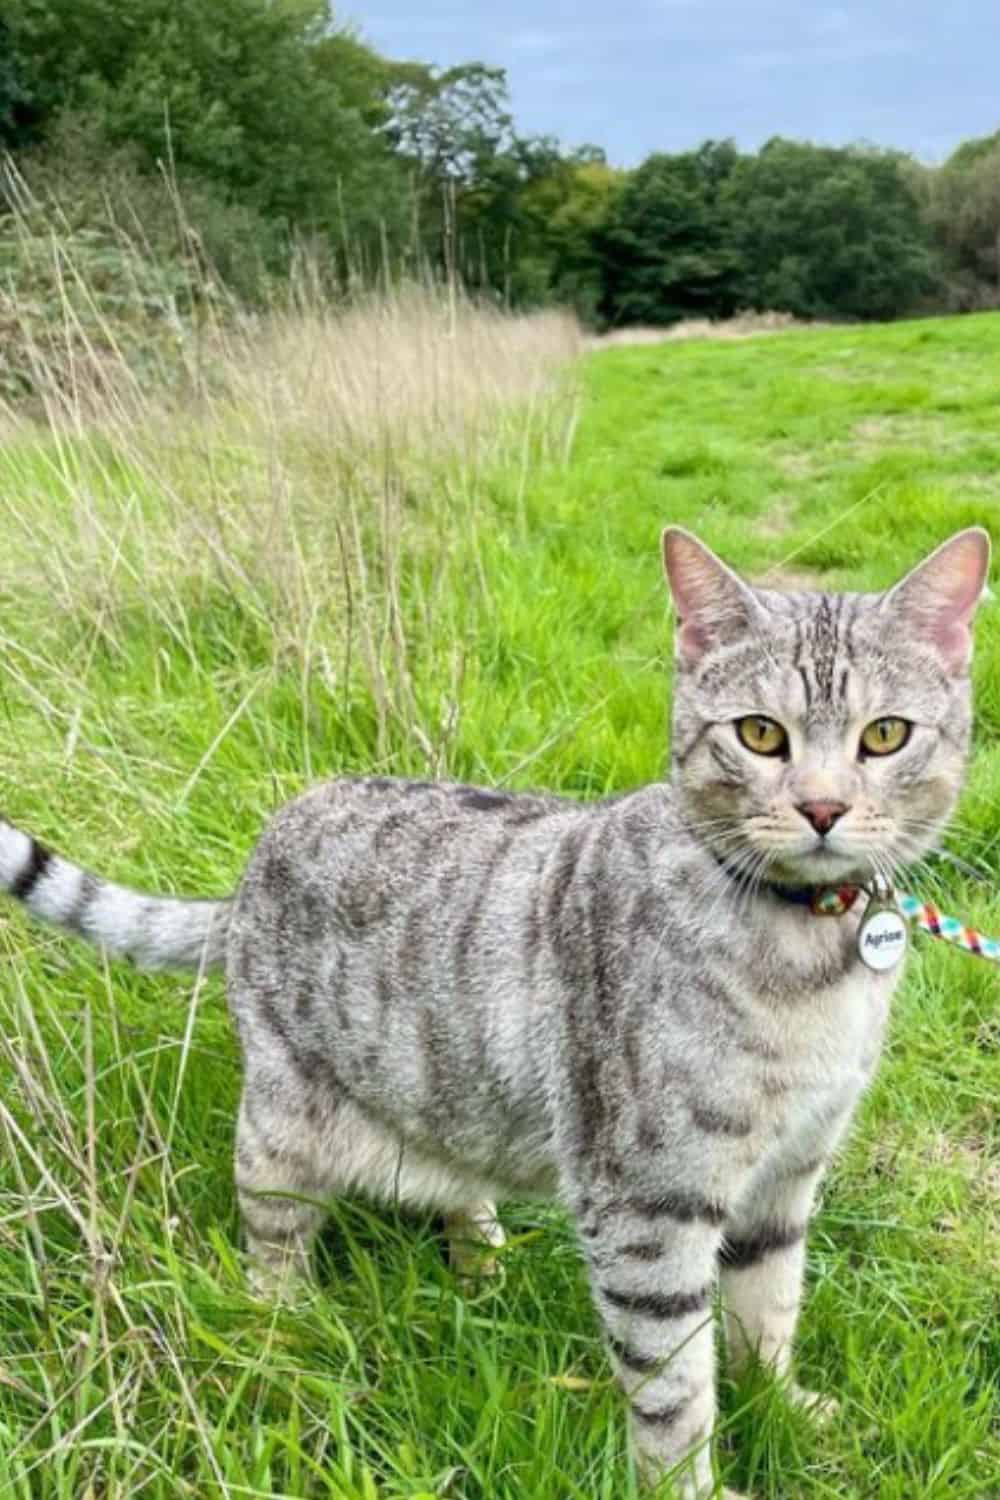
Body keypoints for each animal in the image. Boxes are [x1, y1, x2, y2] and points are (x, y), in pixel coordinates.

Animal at [0, 522, 983, 1494]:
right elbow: (674, 1381)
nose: (822, 807)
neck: (815, 957)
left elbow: (767, 1311)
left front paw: (784, 1410)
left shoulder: (789, 1172)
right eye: (759, 734)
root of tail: (253, 866)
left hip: (445, 1092)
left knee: (451, 1175)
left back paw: (482, 1259)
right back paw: (287, 1333)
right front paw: (691, 1479)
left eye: (885, 735)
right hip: (281, 1128)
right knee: (271, 1244)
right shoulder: (648, 1204)